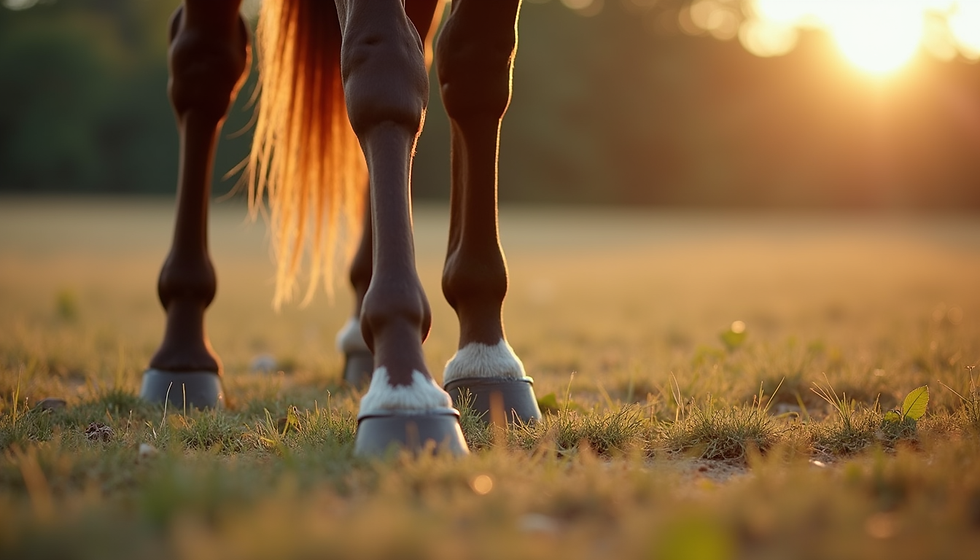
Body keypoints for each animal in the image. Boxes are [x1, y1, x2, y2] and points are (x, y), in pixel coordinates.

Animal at [138, 0, 541, 456]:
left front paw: (486, 354)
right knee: (204, 65)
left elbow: (476, 65)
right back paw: (182, 352)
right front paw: (404, 382)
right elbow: (385, 72)